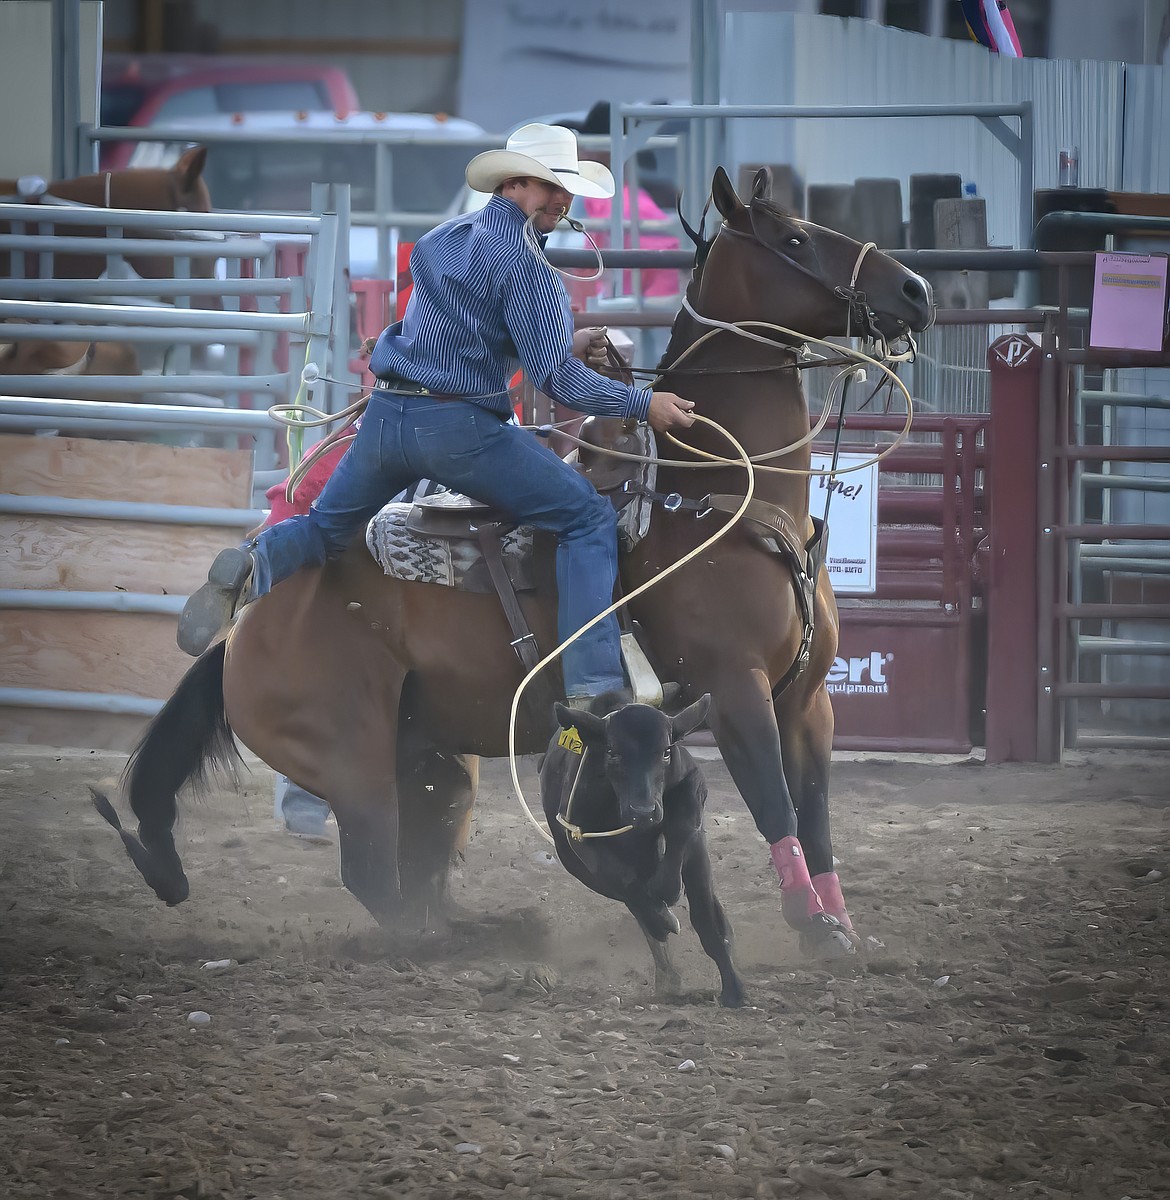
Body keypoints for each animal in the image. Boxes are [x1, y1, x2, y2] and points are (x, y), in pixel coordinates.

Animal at [93, 166, 931, 955]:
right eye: (793, 239)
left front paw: (837, 925)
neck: (717, 498)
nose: (915, 289)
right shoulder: (735, 689)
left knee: (418, 868)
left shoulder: (808, 701)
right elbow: (774, 804)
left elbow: (816, 817)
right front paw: (812, 924)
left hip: (433, 765)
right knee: (374, 874)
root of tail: (245, 636)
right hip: (352, 760)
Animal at [542, 691, 748, 1008]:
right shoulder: (580, 836)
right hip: (578, 865)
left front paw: (734, 990)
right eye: (612, 752)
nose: (643, 812)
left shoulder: (693, 810)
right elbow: (624, 881)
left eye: (665, 752)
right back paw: (666, 967)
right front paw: (663, 917)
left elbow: (702, 913)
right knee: (637, 907)